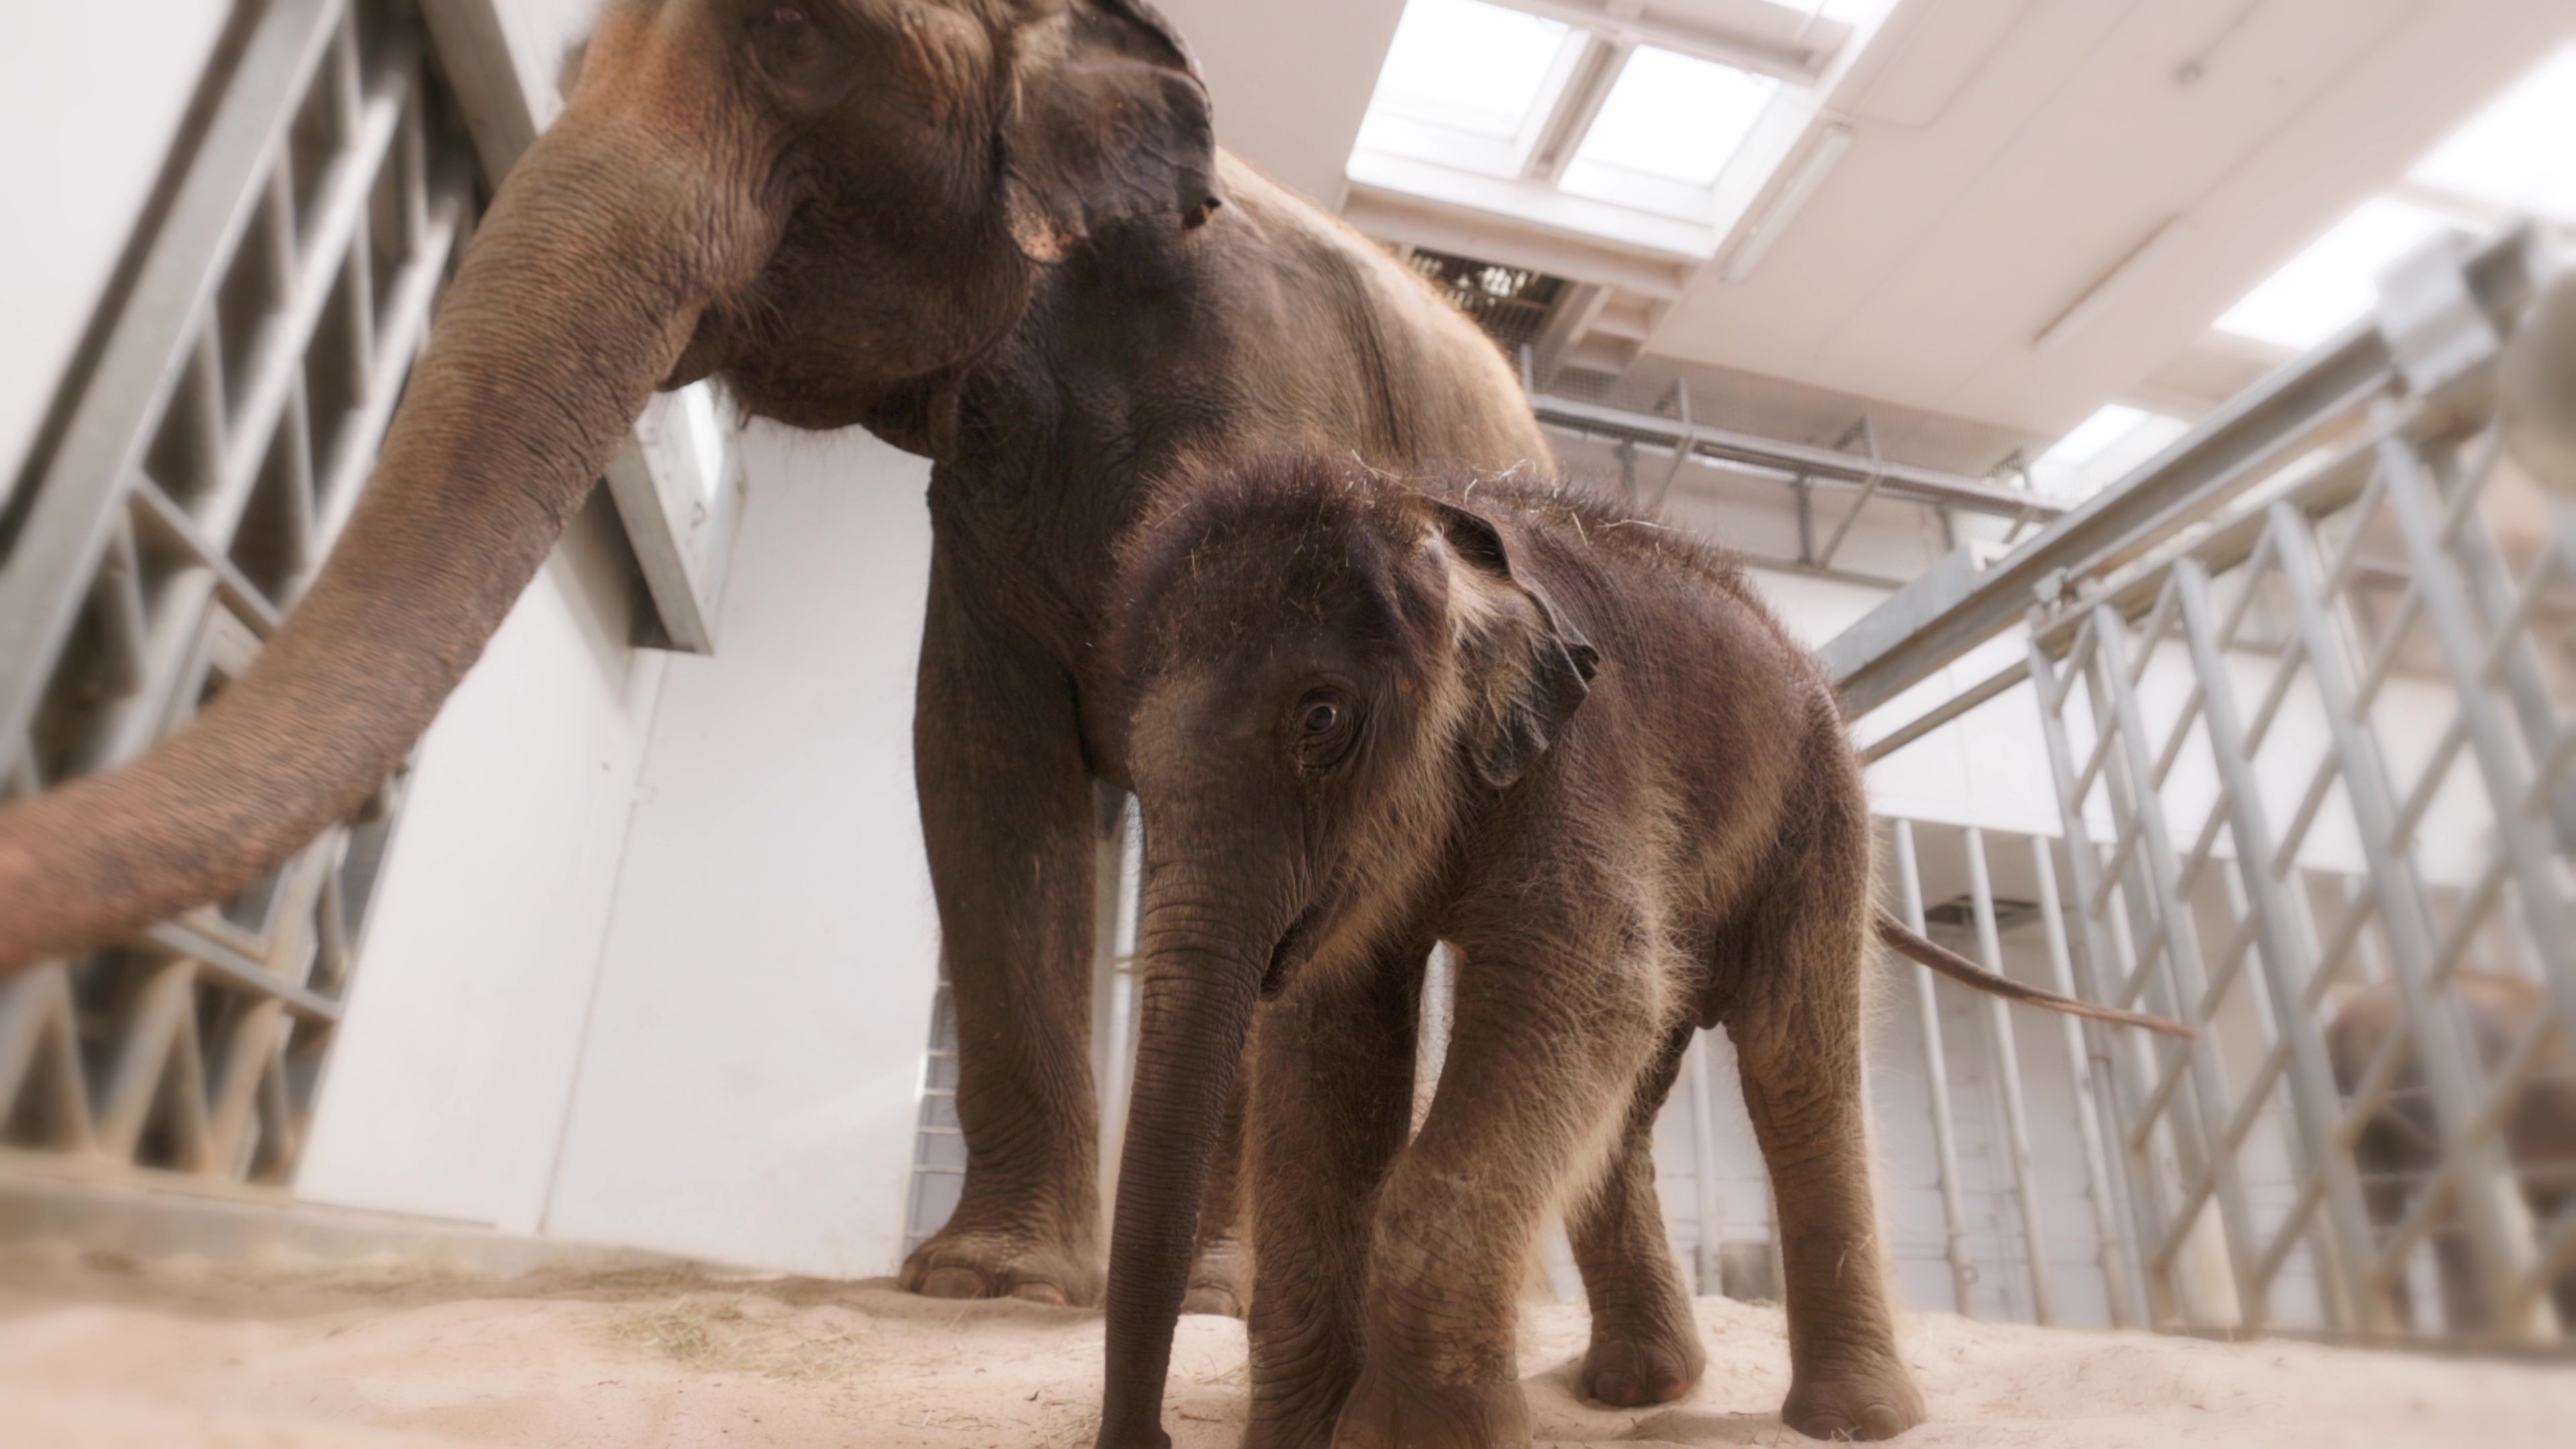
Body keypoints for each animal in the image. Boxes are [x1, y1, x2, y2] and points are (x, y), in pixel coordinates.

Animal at [0, 0, 1547, 1310]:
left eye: (798, 35)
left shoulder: (1271, 408)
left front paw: (1155, 1298)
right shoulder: (986, 510)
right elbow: (985, 781)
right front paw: (986, 1285)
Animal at [1086, 450, 2190, 1448]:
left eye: (1321, 719)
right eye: (1130, 761)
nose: (1147, 1441)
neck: (1419, 513)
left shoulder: (1586, 756)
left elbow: (1586, 987)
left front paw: (1411, 1437)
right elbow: (1335, 1050)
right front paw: (1303, 1434)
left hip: (1820, 807)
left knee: (1790, 1061)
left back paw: (1855, 1421)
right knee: (1631, 1095)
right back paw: (1639, 1388)